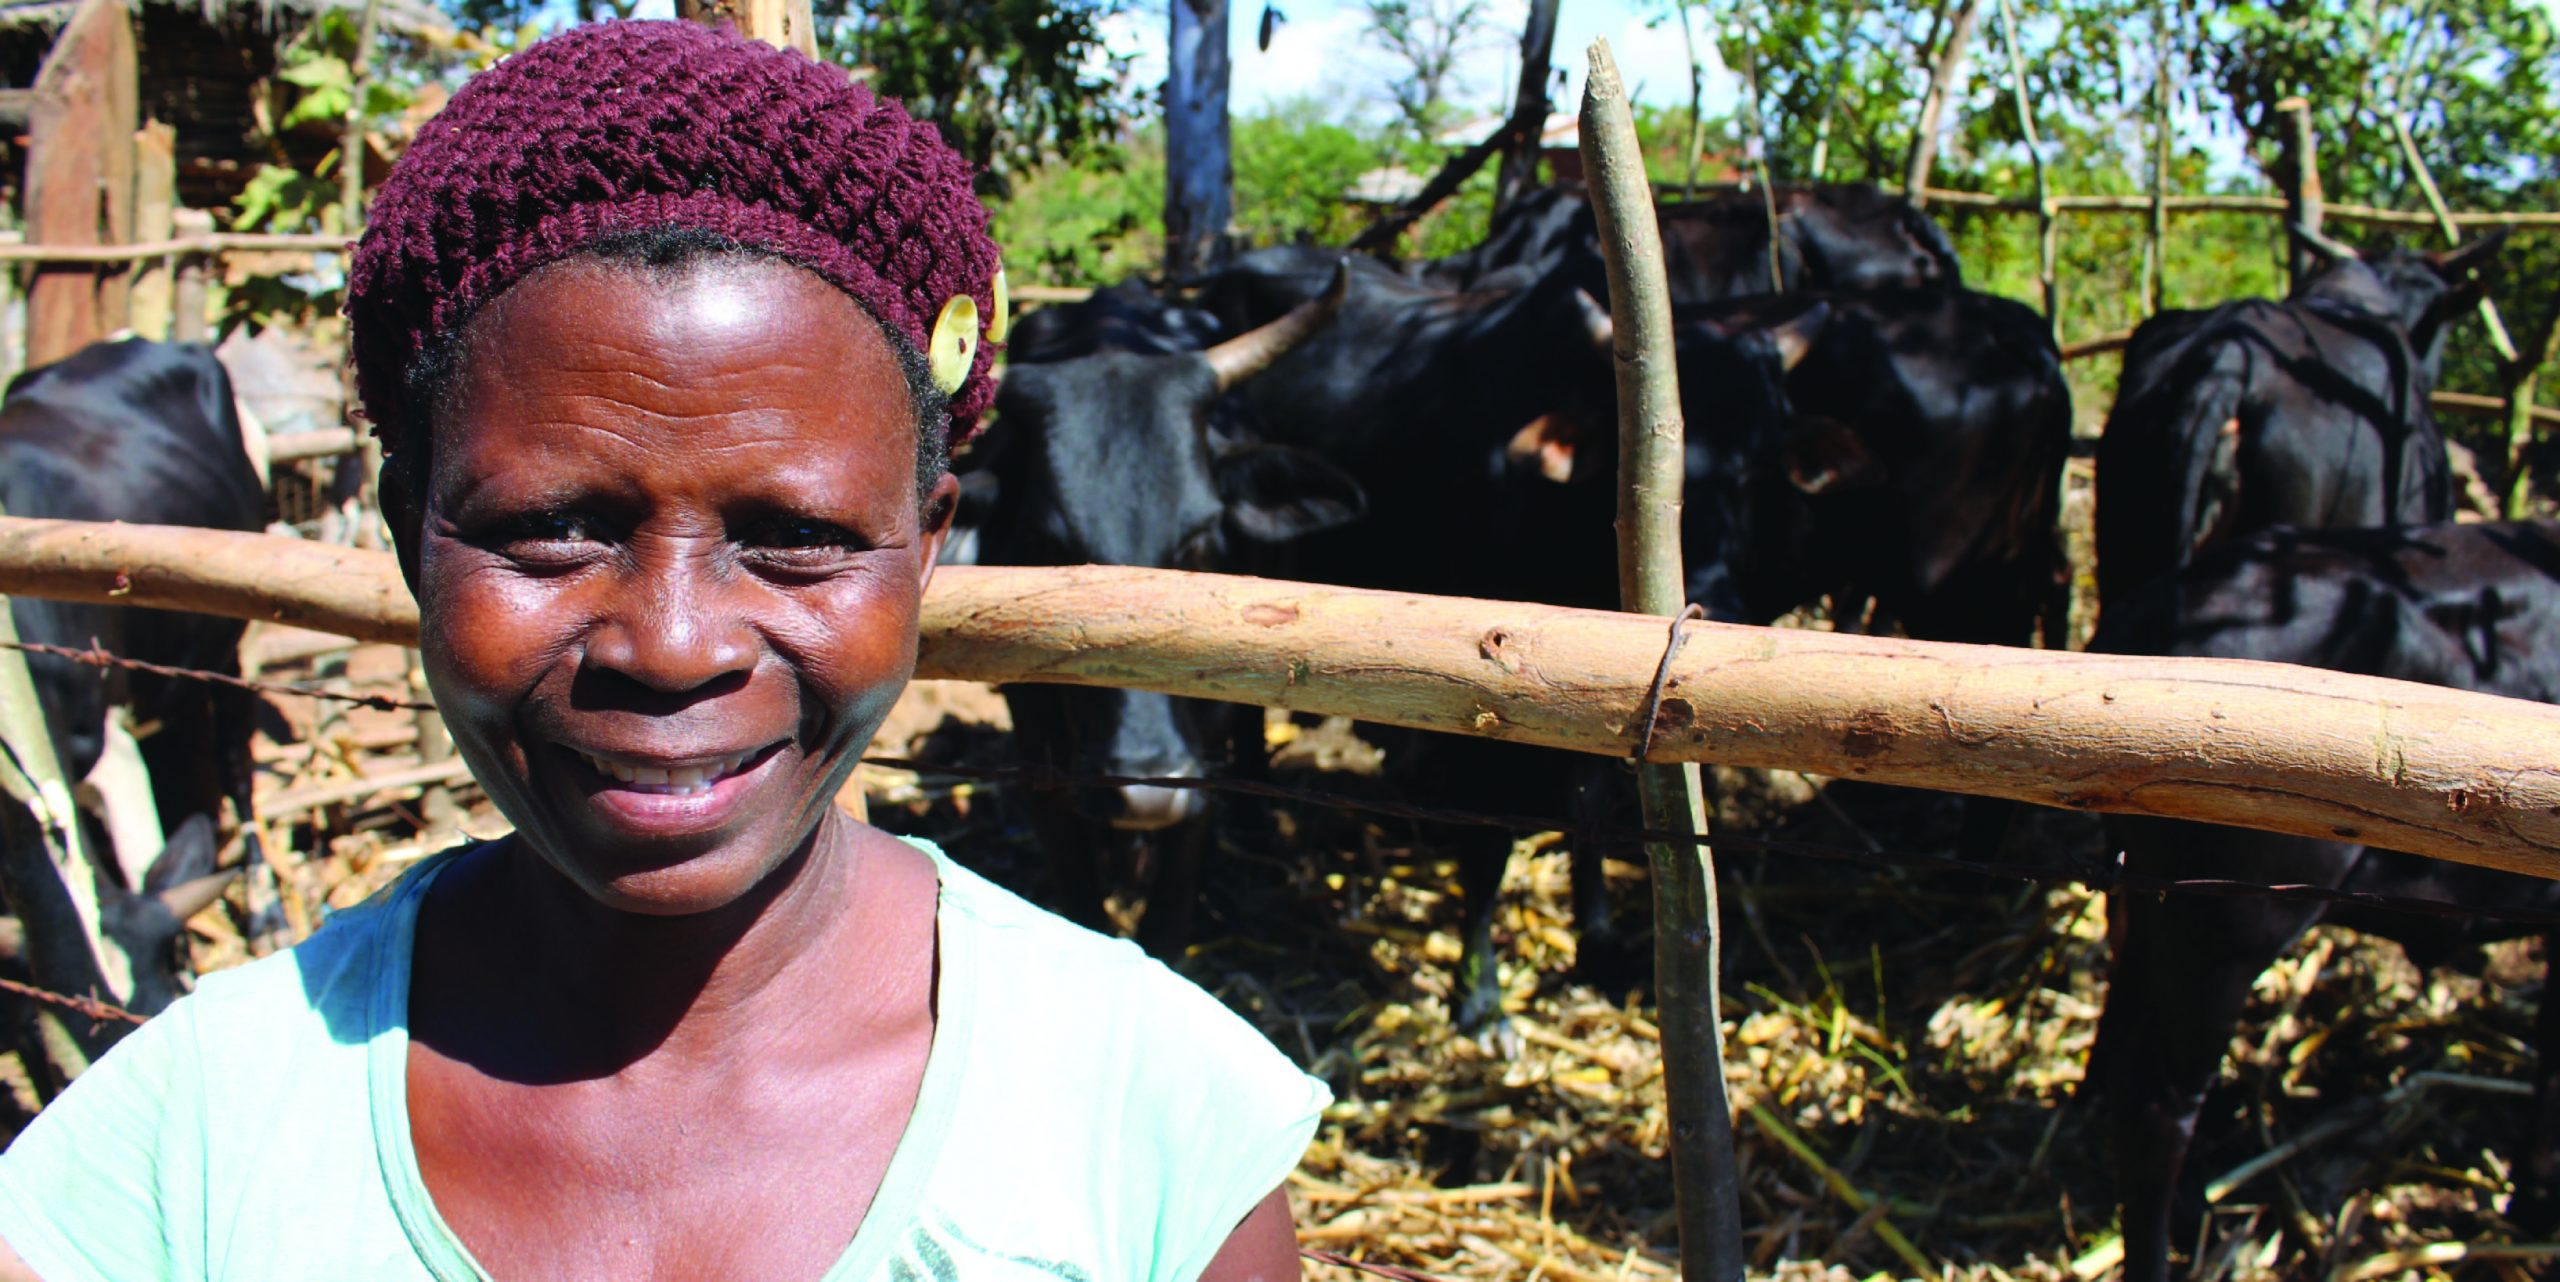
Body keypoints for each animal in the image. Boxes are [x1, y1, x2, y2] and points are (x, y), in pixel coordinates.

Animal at [967, 272, 1361, 951]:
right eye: (1044, 546)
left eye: (1199, 542)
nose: (1144, 792)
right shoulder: (1040, 759)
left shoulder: (1197, 772)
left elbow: (1169, 917)